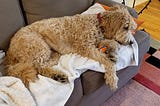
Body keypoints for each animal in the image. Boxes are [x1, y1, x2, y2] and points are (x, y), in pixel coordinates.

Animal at [4, 5, 136, 88]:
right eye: (126, 27)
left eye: (131, 29)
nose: (131, 42)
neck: (98, 24)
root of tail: (10, 50)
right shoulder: (86, 47)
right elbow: (108, 61)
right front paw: (112, 78)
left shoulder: (97, 43)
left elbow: (113, 43)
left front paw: (113, 52)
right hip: (39, 47)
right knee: (37, 66)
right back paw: (58, 75)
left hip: (49, 51)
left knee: (40, 65)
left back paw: (56, 73)